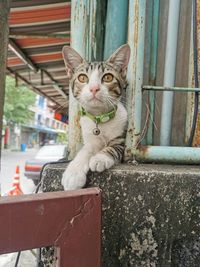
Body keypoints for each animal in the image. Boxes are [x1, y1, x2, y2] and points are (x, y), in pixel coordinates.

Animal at [62, 44, 130, 191]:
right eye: (82, 78)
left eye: (108, 77)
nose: (94, 88)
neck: (100, 118)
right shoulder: (90, 139)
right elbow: (84, 151)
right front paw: (73, 173)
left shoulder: (122, 139)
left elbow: (113, 147)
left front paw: (100, 158)